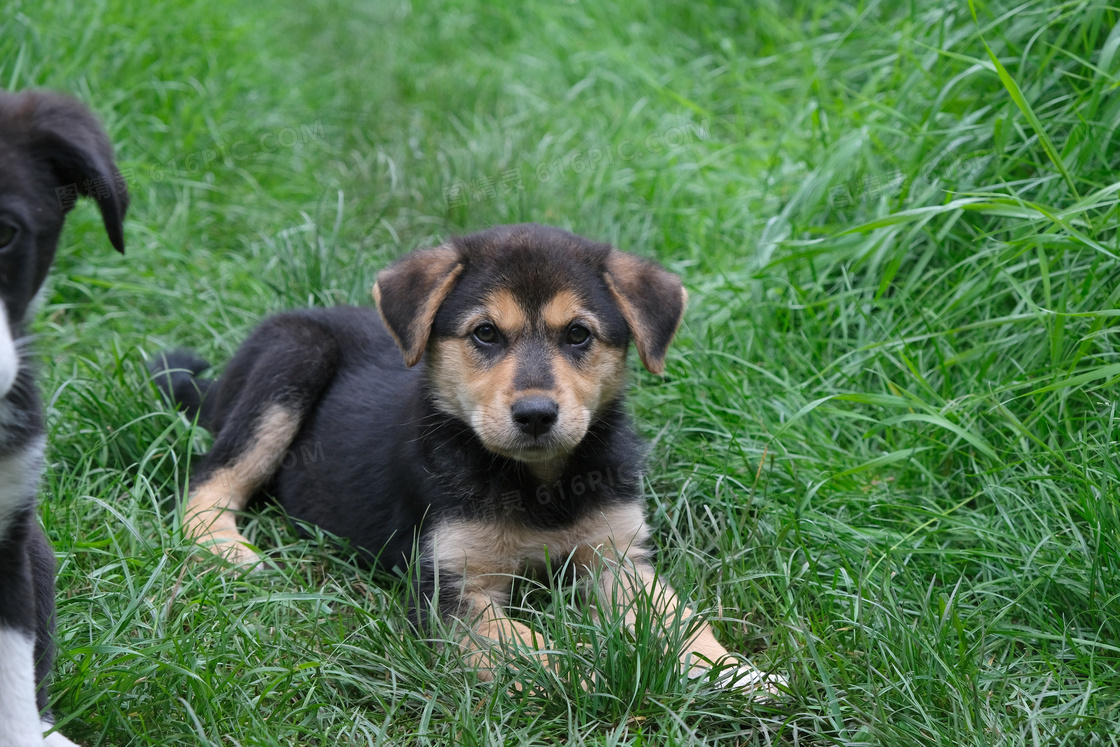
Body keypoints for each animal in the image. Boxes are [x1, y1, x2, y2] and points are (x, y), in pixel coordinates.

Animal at [155, 223, 788, 694]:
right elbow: (539, 650)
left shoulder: (620, 558)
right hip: (290, 361)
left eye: (579, 334)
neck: (539, 485)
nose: (536, 414)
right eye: (485, 333)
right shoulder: (451, 592)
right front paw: (611, 675)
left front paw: (744, 677)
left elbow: (685, 624)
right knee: (209, 478)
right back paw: (228, 551)